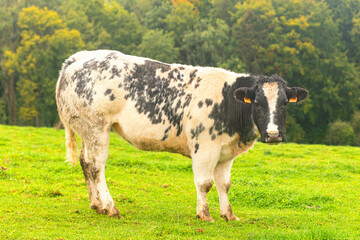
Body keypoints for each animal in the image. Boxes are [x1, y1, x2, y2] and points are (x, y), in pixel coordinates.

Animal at [54, 49, 308, 222]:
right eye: (257, 103)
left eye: (285, 103)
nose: (274, 134)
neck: (227, 102)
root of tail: (79, 57)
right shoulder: (205, 147)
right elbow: (205, 183)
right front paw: (204, 214)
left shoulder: (225, 152)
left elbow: (224, 184)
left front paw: (228, 215)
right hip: (97, 128)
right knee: (97, 165)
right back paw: (109, 206)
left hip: (87, 130)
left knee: (86, 162)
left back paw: (96, 204)